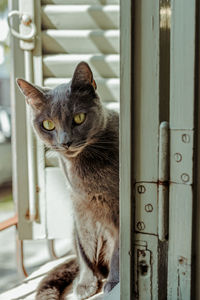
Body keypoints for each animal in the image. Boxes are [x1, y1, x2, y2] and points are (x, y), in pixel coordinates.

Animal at [16, 62, 119, 298]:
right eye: (48, 124)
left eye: (79, 118)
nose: (65, 142)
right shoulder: (80, 206)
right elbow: (85, 247)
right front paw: (85, 283)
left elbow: (118, 248)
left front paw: (115, 282)